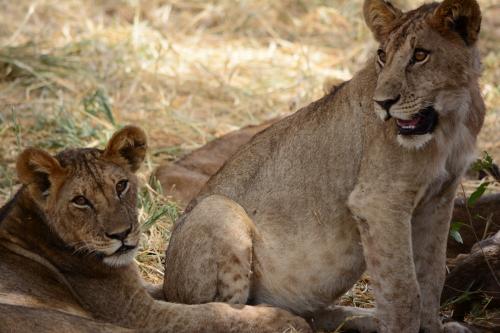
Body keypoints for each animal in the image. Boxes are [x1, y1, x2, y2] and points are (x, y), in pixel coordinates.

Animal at [0, 125, 310, 332]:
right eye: (80, 200)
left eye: (121, 186)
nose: (121, 234)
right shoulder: (138, 314)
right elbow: (209, 314)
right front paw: (285, 319)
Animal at [163, 0, 484, 332]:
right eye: (382, 56)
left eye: (420, 55)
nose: (382, 103)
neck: (450, 122)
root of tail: (166, 283)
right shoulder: (378, 201)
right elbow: (403, 289)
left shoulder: (439, 199)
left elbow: (432, 276)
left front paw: (434, 326)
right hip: (217, 208)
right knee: (216, 309)